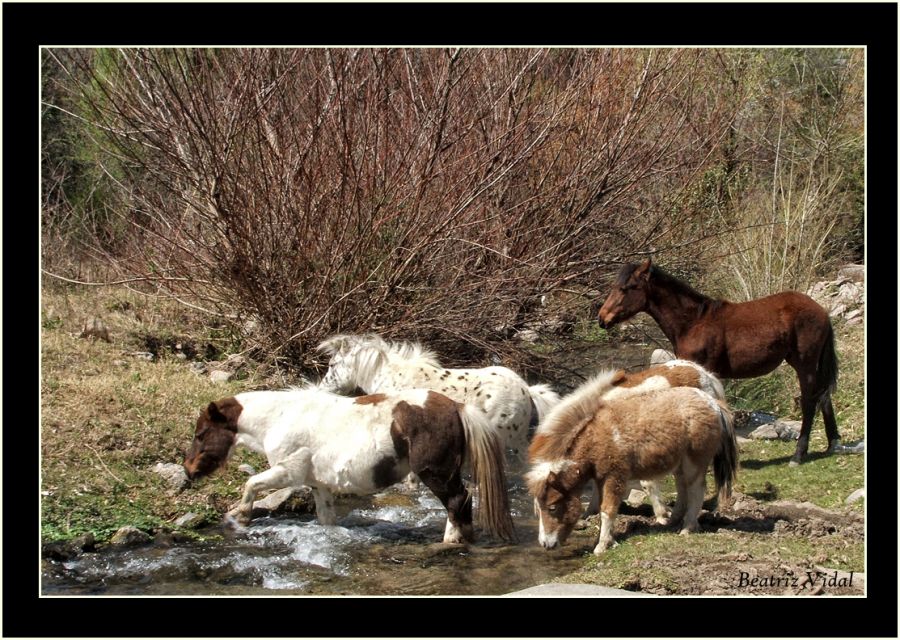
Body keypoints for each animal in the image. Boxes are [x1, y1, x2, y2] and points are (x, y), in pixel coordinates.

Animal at [183, 384, 516, 544]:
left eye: (201, 434)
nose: (188, 469)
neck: (279, 417)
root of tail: (456, 407)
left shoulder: (287, 472)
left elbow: (251, 483)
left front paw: (240, 516)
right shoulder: (318, 485)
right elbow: (326, 519)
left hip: (436, 474)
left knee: (458, 501)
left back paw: (450, 540)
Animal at [528, 384, 740, 556]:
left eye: (552, 507)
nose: (545, 544)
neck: (598, 437)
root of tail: (713, 403)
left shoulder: (614, 478)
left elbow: (608, 510)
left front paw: (602, 546)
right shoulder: (602, 479)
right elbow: (605, 509)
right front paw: (607, 540)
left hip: (694, 462)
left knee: (696, 490)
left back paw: (687, 527)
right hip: (680, 464)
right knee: (683, 489)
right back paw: (673, 520)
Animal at [596, 256, 840, 464]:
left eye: (627, 288)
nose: (602, 319)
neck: (693, 322)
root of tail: (821, 311)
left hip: (805, 364)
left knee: (810, 402)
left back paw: (798, 454)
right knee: (824, 397)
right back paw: (833, 443)